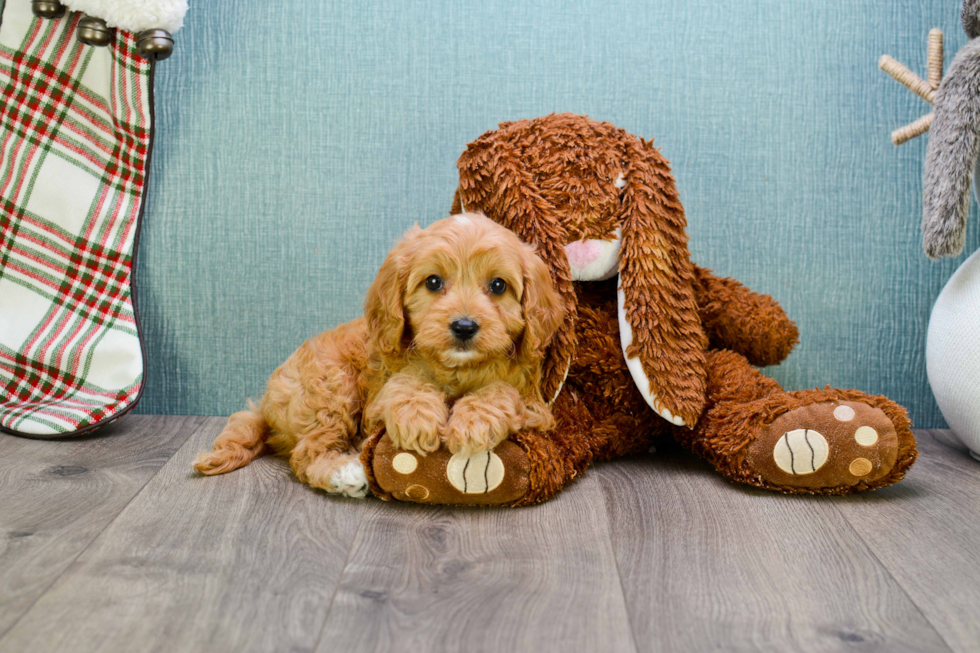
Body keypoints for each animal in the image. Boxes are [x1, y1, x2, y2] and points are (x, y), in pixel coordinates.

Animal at [191, 213, 564, 494]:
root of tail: (267, 406)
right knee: (307, 453)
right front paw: (416, 419)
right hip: (331, 388)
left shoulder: (536, 405)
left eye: (498, 286)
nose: (464, 326)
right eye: (433, 282)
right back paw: (347, 473)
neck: (457, 368)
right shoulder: (378, 396)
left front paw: (473, 422)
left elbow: (501, 391)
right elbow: (406, 382)